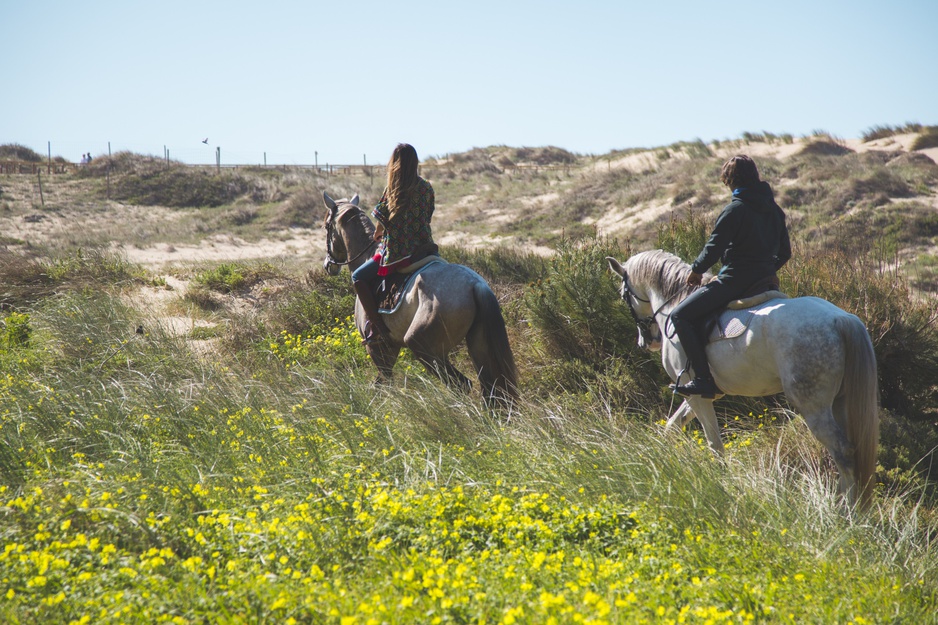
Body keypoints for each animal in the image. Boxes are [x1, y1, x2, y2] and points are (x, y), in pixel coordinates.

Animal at [608, 249, 876, 508]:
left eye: (623, 295)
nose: (646, 342)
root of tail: (840, 319)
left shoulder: (697, 396)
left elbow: (714, 444)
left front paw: (720, 483)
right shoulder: (698, 393)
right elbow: (672, 427)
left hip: (813, 406)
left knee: (842, 452)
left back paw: (845, 512)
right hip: (840, 402)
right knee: (850, 452)